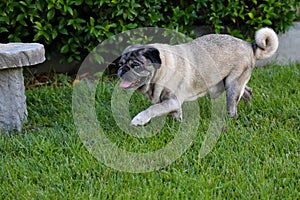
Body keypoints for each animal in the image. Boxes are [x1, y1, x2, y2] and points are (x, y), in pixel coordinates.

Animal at [117, 27, 278, 126]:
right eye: (120, 63)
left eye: (136, 65)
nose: (122, 70)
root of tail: (249, 45)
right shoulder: (173, 104)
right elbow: (175, 114)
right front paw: (176, 125)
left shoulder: (172, 101)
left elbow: (153, 109)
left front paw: (139, 119)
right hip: (232, 83)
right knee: (248, 92)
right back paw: (248, 107)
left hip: (232, 85)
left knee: (232, 106)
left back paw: (230, 119)